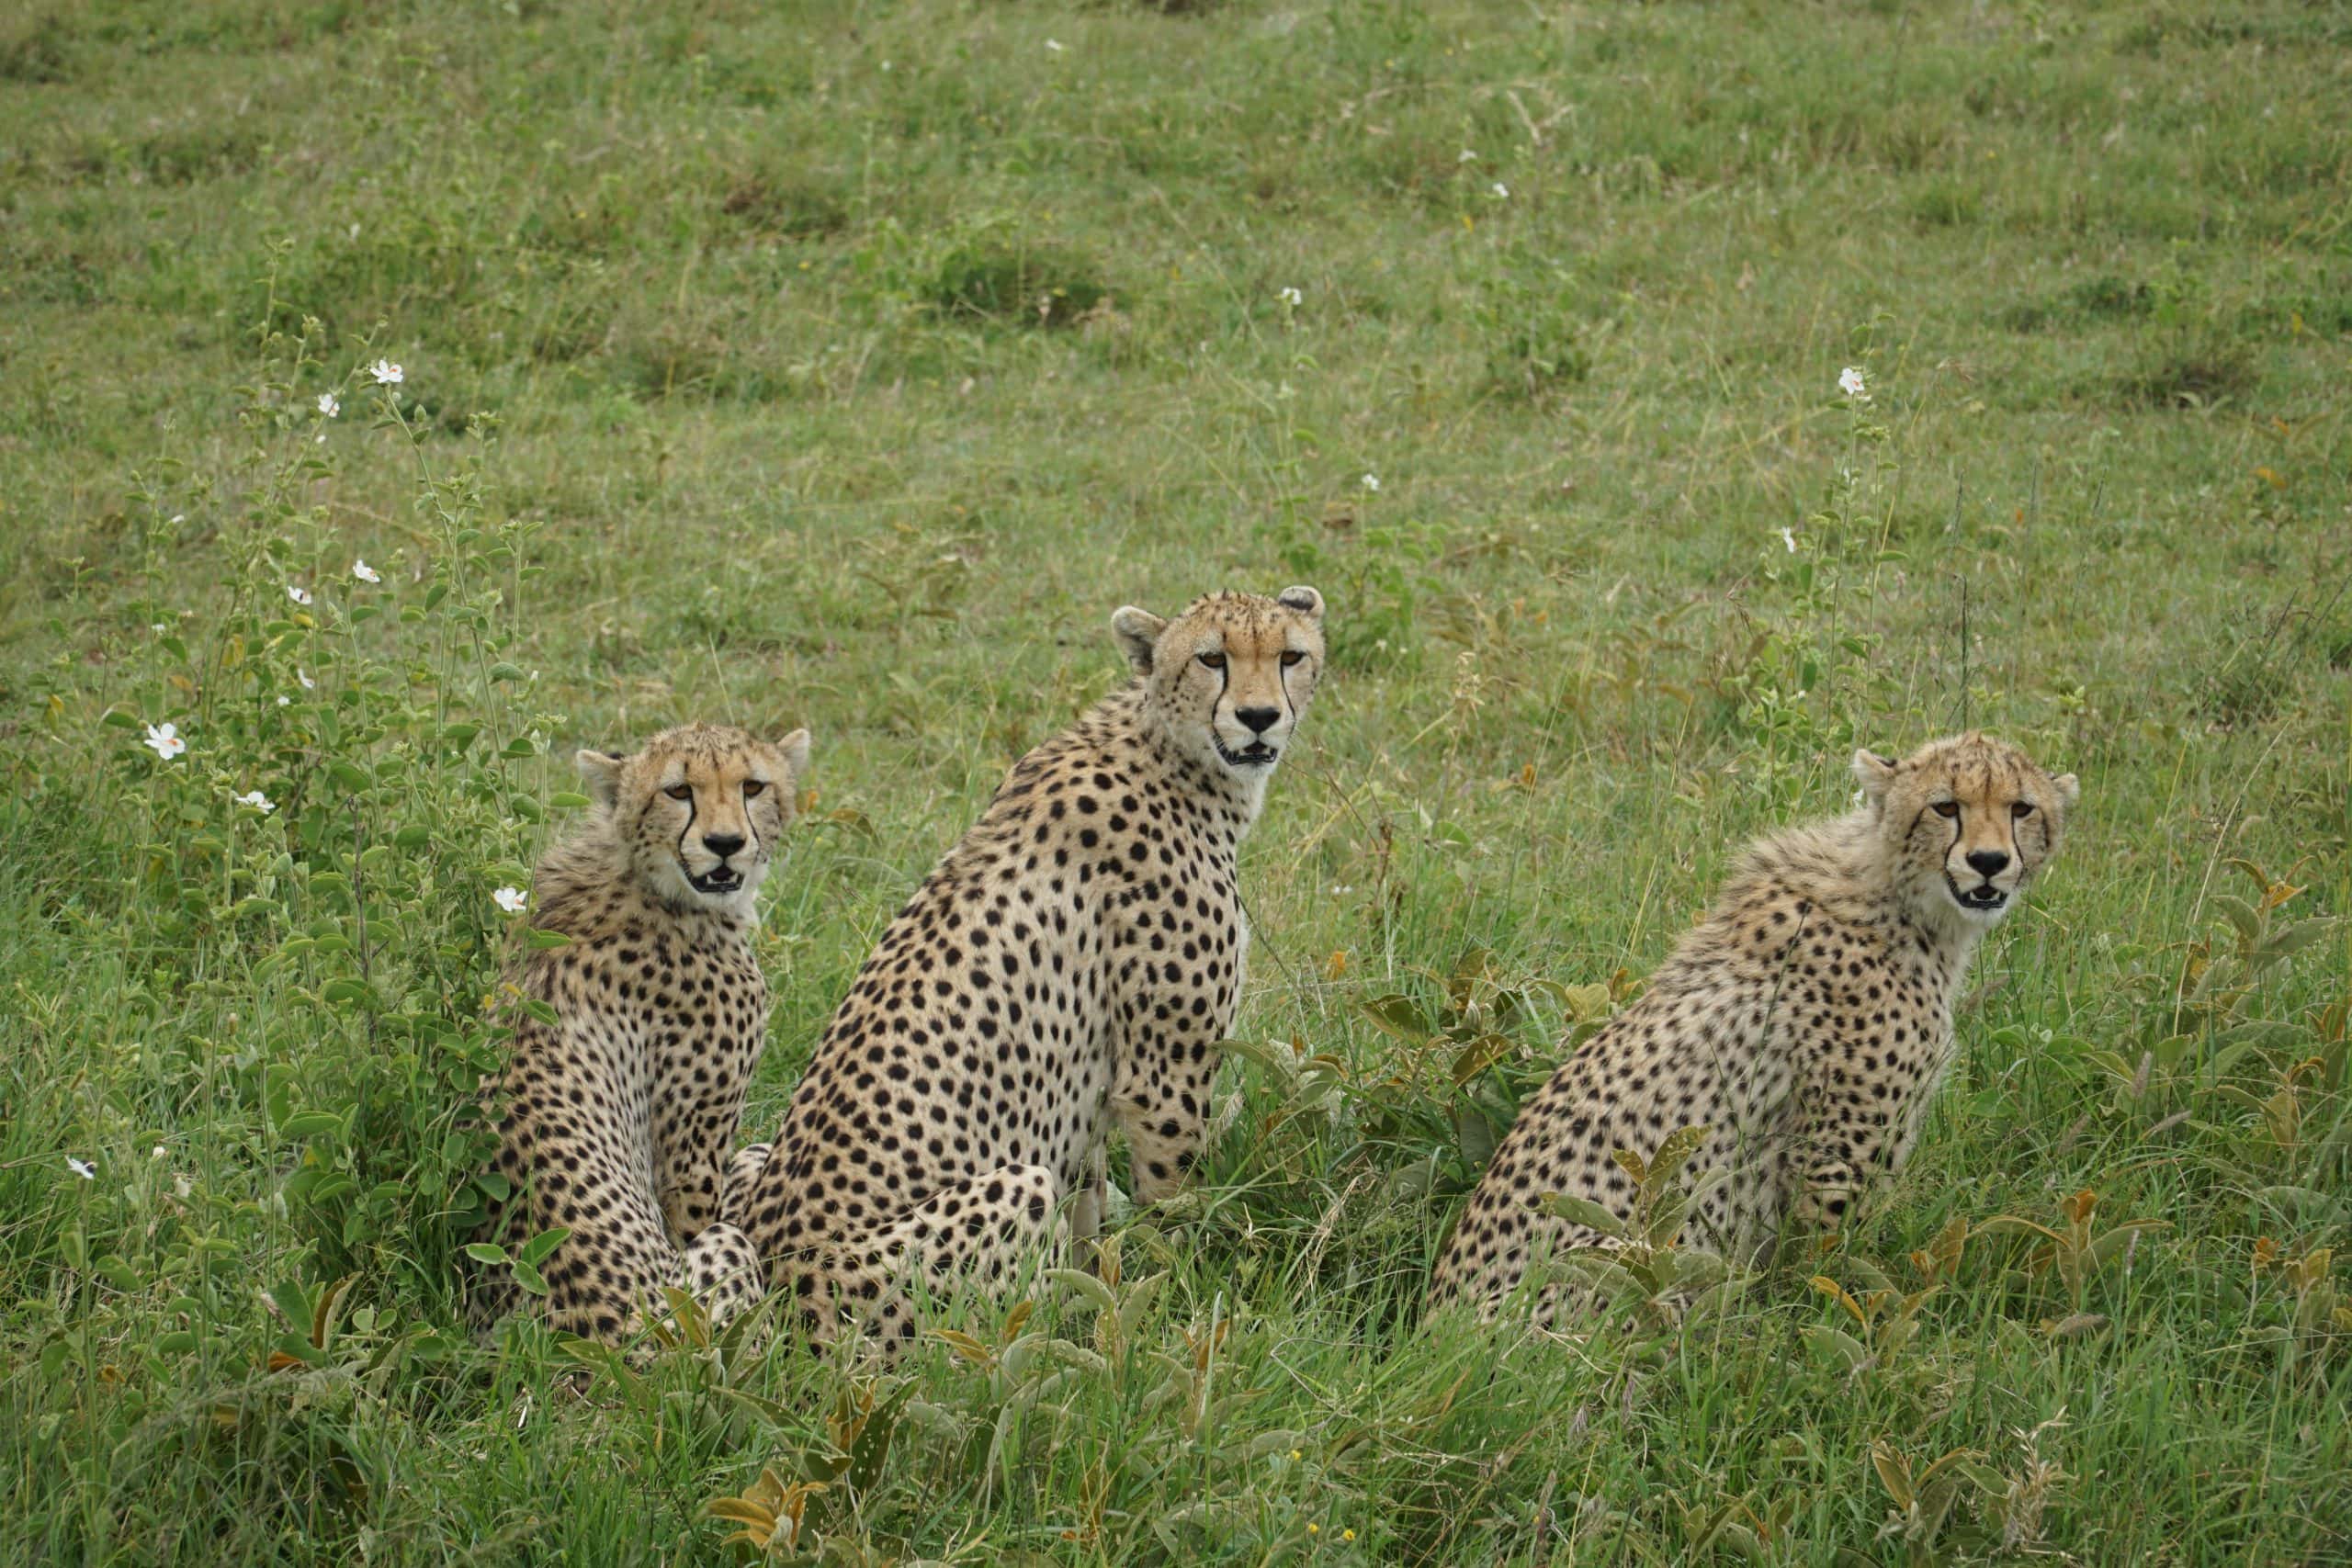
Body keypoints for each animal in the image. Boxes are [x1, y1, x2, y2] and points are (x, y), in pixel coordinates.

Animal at [464, 721, 812, 1349]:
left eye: (752, 786)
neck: (645, 878)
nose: (725, 843)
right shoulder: (693, 1151)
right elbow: (704, 1202)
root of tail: (597, 1341)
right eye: (678, 791)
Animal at [727, 587, 1330, 1351]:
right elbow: (1170, 1208)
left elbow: (1091, 1214)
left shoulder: (1091, 1089)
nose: (1258, 717)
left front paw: (1106, 1290)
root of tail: (771, 1303)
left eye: (1291, 656)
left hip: (749, 1160)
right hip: (1003, 1197)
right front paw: (1176, 1298)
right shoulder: (1163, 1077)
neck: (1168, 748)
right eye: (1211, 658)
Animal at [1430, 731, 2079, 1325]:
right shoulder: (1833, 1157)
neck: (1897, 900)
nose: (1989, 862)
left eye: (2021, 809)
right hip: (1631, 1253)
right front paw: (1812, 1323)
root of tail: (1438, 1325)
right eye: (1945, 807)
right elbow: (1824, 1267)